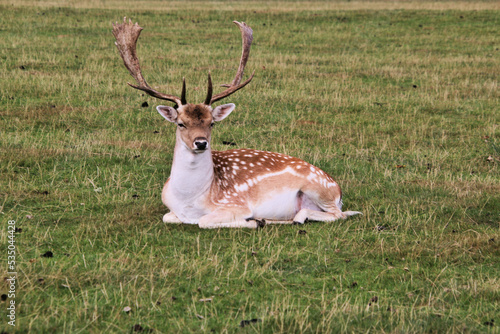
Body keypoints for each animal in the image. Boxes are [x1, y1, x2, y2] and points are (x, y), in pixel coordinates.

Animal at [113, 17, 360, 228]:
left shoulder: (235, 203)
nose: (200, 143)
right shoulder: (172, 210)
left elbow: (204, 221)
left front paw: (253, 221)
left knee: (338, 215)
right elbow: (168, 217)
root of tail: (338, 190)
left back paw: (288, 218)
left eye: (211, 123)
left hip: (319, 190)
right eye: (181, 123)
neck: (190, 201)